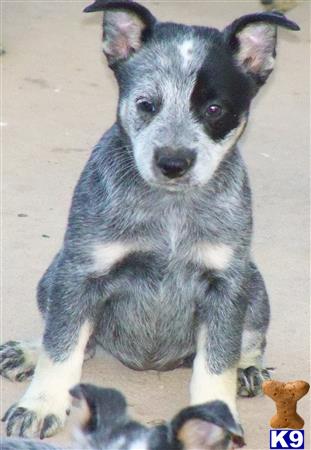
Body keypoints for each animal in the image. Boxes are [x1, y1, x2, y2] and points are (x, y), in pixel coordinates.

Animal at [0, 0, 300, 446]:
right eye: (146, 103)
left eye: (215, 109)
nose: (173, 162)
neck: (170, 212)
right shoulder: (81, 271)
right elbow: (62, 345)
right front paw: (39, 403)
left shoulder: (225, 283)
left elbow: (217, 362)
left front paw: (216, 417)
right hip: (53, 272)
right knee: (77, 339)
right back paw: (27, 351)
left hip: (254, 283)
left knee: (246, 341)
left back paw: (248, 368)